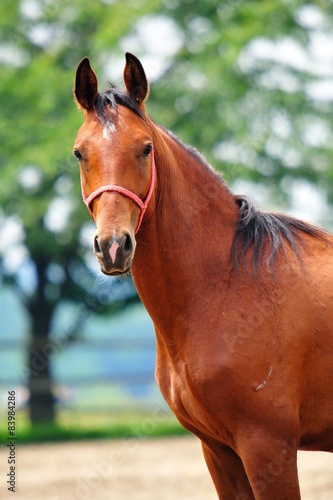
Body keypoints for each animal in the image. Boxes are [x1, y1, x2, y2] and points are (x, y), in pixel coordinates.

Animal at [72, 52, 332, 498]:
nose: (113, 246)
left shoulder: (269, 447)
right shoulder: (219, 451)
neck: (226, 285)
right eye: (79, 153)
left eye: (145, 149)